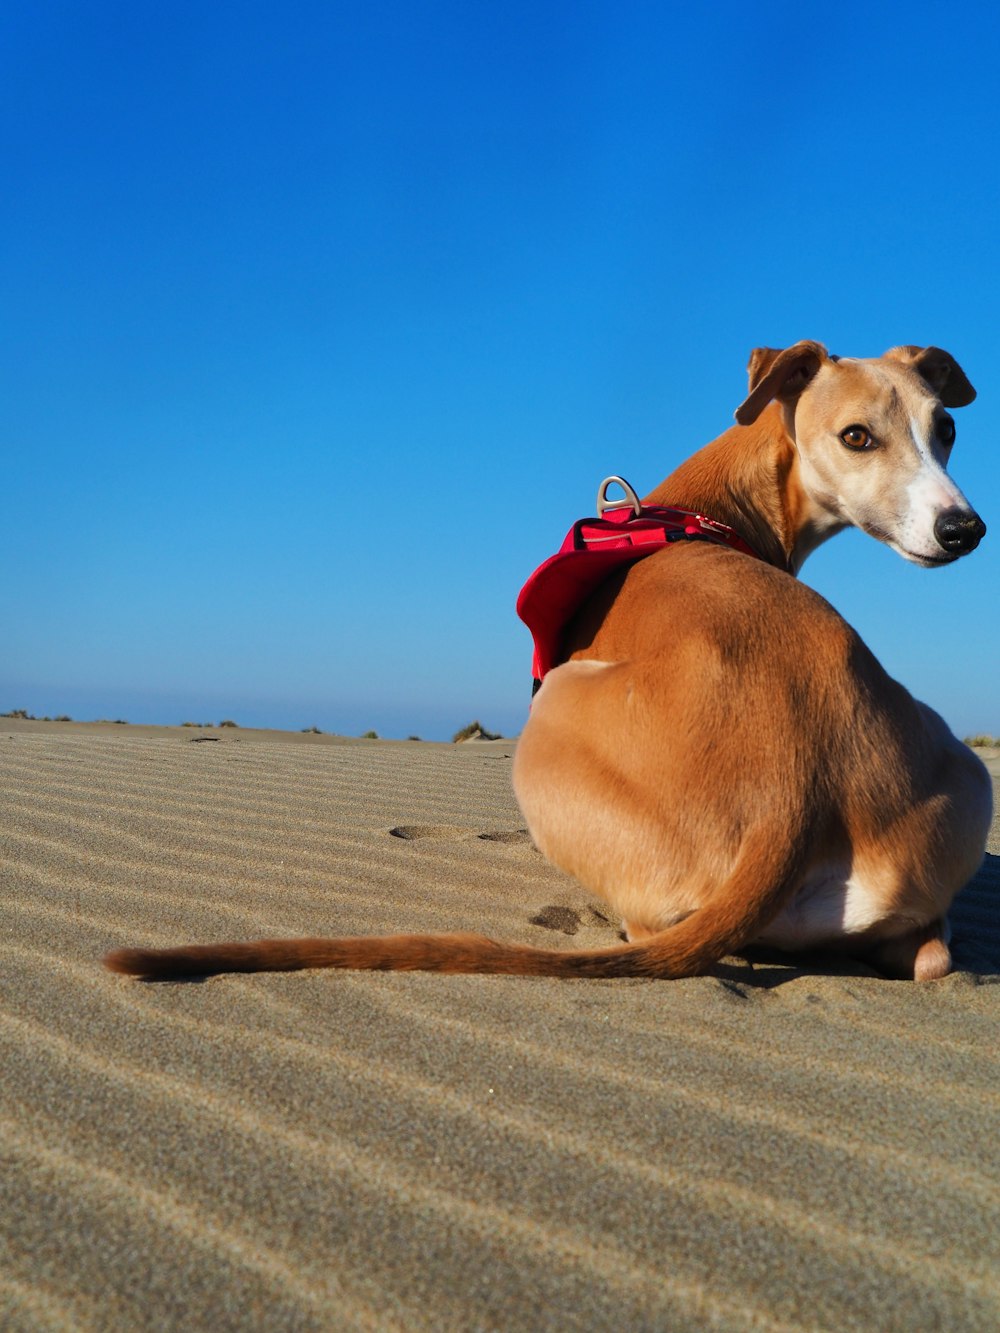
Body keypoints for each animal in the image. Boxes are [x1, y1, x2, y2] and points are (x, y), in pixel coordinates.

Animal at [106, 343, 992, 981]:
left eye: (945, 429)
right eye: (857, 436)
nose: (964, 529)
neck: (709, 508)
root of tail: (793, 797)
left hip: (550, 721)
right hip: (962, 772)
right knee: (929, 954)